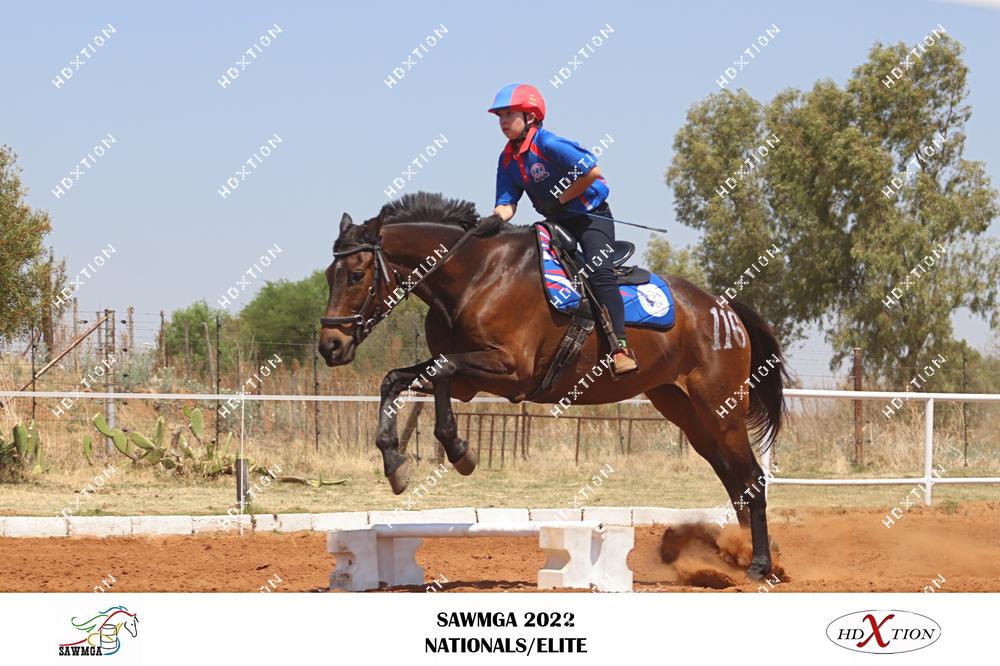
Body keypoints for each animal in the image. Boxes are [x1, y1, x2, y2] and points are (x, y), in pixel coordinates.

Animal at [318, 192, 788, 579]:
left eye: (357, 274)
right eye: (328, 274)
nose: (330, 345)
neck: (474, 276)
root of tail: (724, 309)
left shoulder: (510, 371)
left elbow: (444, 373)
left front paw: (459, 450)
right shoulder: (469, 379)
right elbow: (396, 380)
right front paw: (395, 464)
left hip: (721, 408)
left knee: (751, 478)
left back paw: (759, 565)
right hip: (683, 409)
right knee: (733, 478)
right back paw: (741, 555)